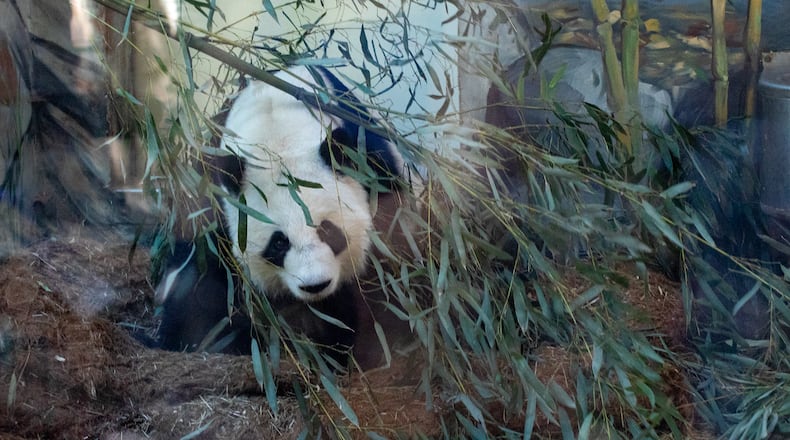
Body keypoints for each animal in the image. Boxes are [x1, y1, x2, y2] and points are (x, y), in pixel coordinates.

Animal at [155, 65, 404, 365]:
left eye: (327, 230)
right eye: (279, 243)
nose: (315, 285)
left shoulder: (372, 162)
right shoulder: (214, 201)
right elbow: (208, 284)